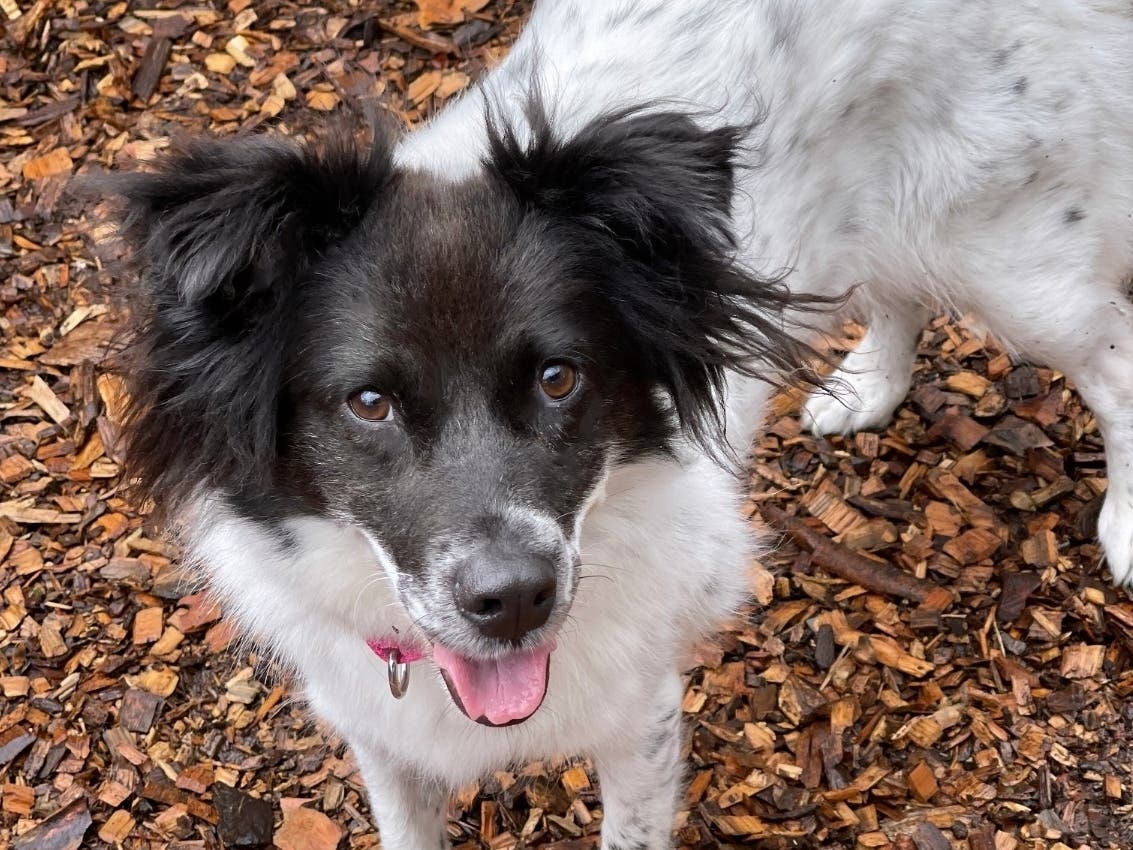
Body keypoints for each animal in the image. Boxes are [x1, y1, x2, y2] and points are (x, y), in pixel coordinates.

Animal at [112, 1, 1133, 850]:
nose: (513, 598)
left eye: (560, 379)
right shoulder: (383, 735)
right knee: (898, 290)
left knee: (1114, 358)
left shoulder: (640, 714)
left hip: (1012, 259)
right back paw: (868, 387)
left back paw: (1124, 524)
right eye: (370, 403)